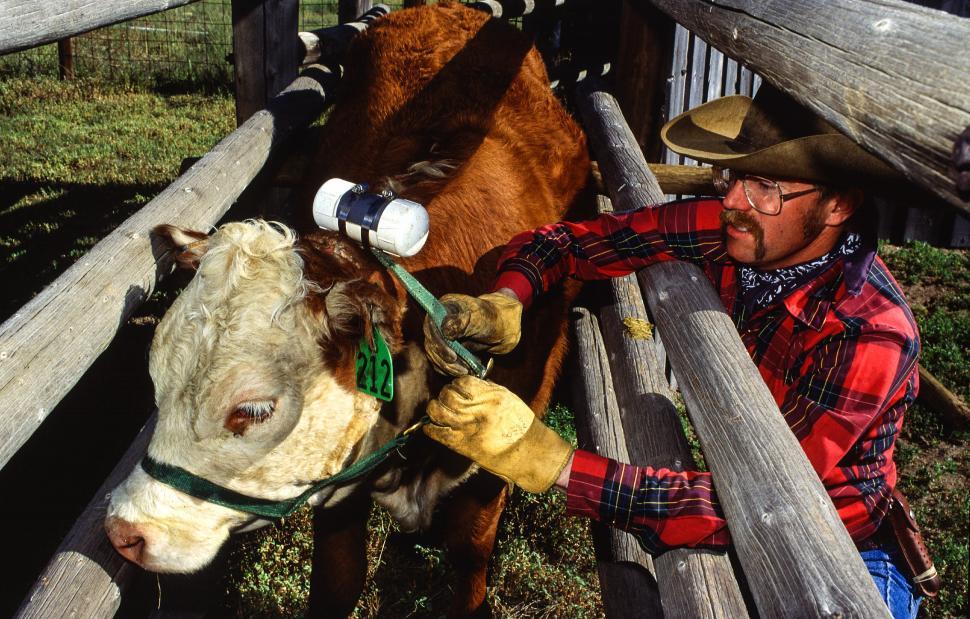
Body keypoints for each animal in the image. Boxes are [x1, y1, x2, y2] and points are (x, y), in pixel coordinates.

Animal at [105, 2, 590, 615]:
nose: (123, 532)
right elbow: (338, 581)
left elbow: (470, 554)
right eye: (156, 382)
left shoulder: (495, 464)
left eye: (254, 410)